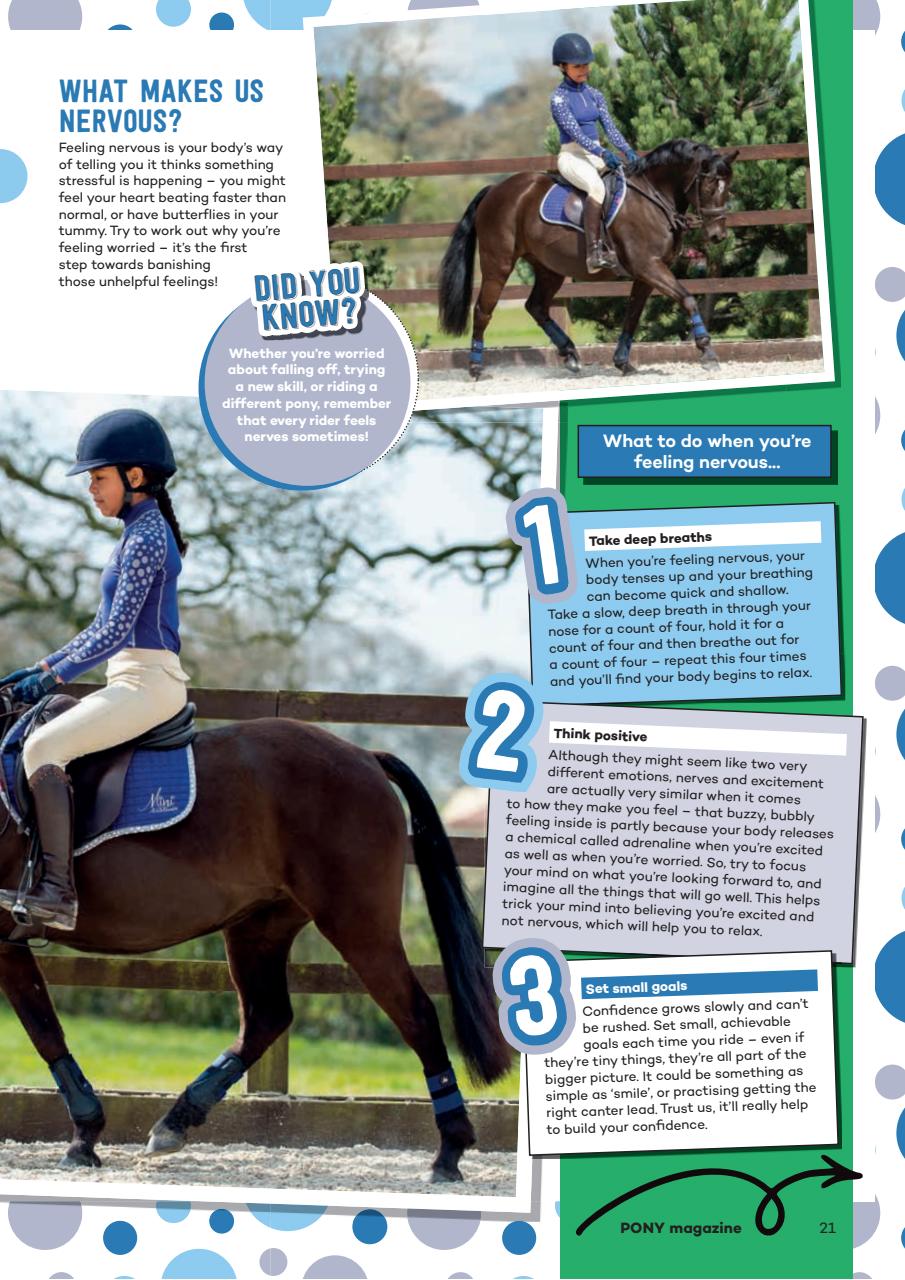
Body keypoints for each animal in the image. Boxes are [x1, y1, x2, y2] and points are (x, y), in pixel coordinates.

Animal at [0, 695, 512, 1180]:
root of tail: (365, 757)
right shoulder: (11, 942)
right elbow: (44, 1028)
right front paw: (85, 1137)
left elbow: (43, 1030)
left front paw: (83, 1137)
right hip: (259, 927)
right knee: (267, 1016)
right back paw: (176, 1121)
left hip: (358, 925)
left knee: (417, 1015)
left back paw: (448, 1152)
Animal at [438, 139, 739, 379]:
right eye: (709, 186)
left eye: (728, 188)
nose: (718, 236)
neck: (653, 198)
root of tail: (495, 190)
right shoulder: (649, 266)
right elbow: (688, 299)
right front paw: (708, 353)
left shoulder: (647, 273)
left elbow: (632, 315)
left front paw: (623, 363)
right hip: (498, 265)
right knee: (483, 310)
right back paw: (476, 368)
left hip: (549, 268)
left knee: (536, 306)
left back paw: (570, 355)